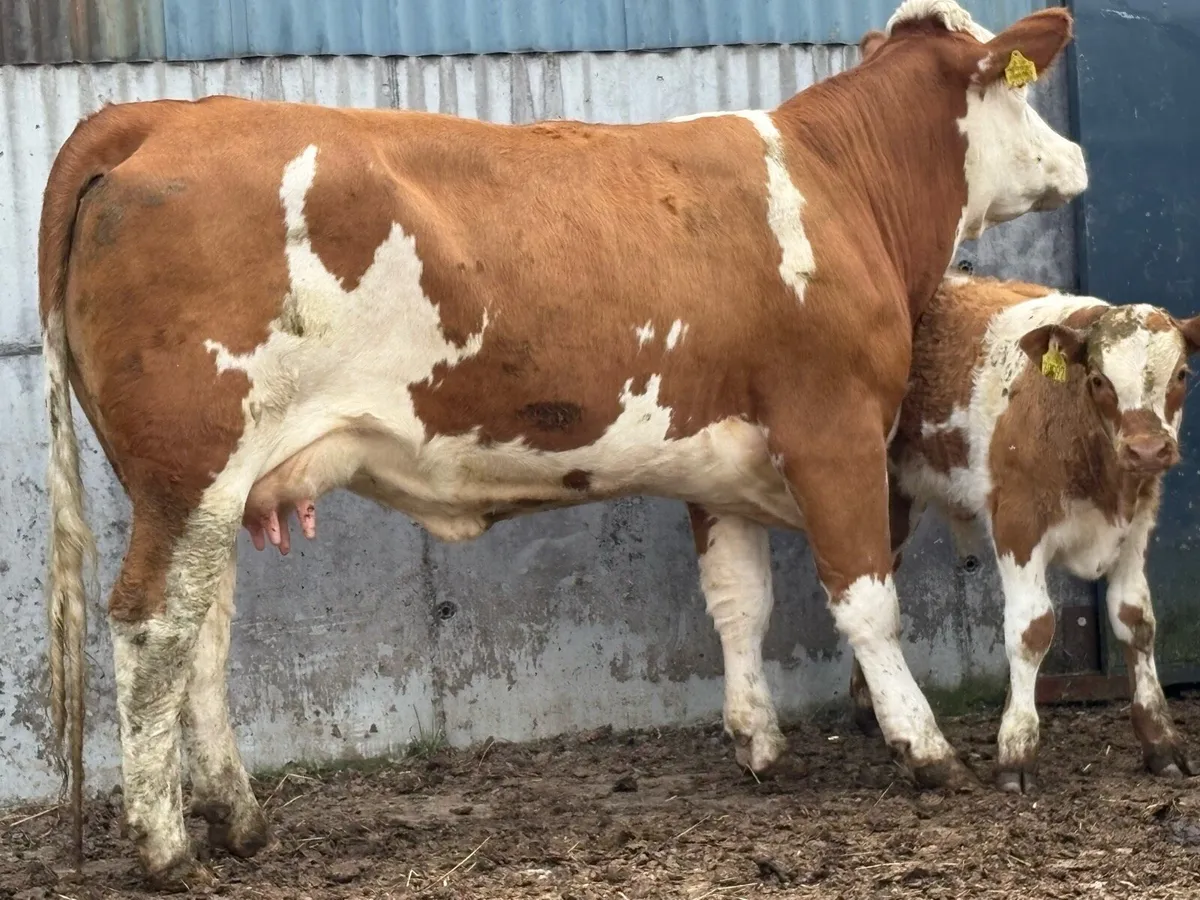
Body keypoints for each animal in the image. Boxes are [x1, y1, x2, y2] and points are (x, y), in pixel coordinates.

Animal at [37, 0, 1086, 885]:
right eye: (1021, 89)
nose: (1075, 156)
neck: (840, 185)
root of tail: (156, 118)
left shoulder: (717, 459)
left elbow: (737, 604)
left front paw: (756, 742)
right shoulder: (835, 431)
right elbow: (866, 603)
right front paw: (925, 750)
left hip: (208, 485)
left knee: (203, 633)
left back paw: (240, 820)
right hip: (191, 466)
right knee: (151, 626)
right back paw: (166, 845)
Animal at [845, 273, 1200, 792]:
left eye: (1181, 375)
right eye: (1099, 380)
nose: (1148, 450)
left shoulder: (1136, 524)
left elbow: (1136, 623)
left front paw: (1162, 743)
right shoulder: (1017, 522)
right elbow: (1031, 630)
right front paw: (1016, 750)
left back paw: (867, 704)